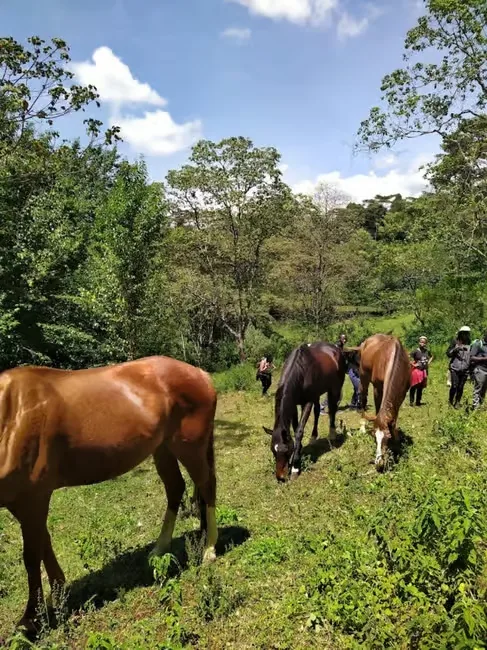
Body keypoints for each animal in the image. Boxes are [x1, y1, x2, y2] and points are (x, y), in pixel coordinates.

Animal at [0, 355, 217, 633]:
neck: (11, 416)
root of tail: (200, 373)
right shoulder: (21, 502)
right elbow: (44, 543)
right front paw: (57, 596)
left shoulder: (33, 498)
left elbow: (31, 556)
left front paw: (30, 619)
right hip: (163, 448)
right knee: (176, 488)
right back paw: (160, 549)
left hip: (190, 446)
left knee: (207, 487)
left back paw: (209, 549)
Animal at [263, 342, 348, 481]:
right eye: (273, 451)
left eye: (286, 451)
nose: (280, 477)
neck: (300, 370)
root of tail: (335, 349)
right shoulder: (294, 403)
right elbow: (295, 427)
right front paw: (300, 449)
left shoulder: (307, 403)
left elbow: (299, 431)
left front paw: (295, 467)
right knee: (318, 411)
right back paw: (313, 436)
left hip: (334, 388)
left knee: (333, 409)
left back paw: (332, 433)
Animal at [358, 334, 410, 470]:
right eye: (374, 437)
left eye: (387, 438)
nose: (379, 463)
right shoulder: (377, 388)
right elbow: (377, 410)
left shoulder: (402, 393)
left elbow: (394, 414)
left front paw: (396, 437)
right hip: (363, 377)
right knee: (363, 398)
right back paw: (363, 425)